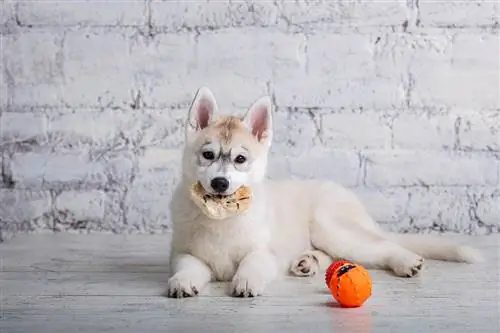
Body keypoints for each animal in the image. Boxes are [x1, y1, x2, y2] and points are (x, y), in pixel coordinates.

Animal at [166, 87, 482, 296]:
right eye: (208, 155)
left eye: (240, 159)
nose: (220, 183)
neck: (222, 215)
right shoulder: (183, 253)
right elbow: (187, 266)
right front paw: (182, 282)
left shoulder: (265, 253)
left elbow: (252, 262)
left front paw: (246, 280)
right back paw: (308, 261)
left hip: (332, 228)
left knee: (382, 247)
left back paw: (406, 262)